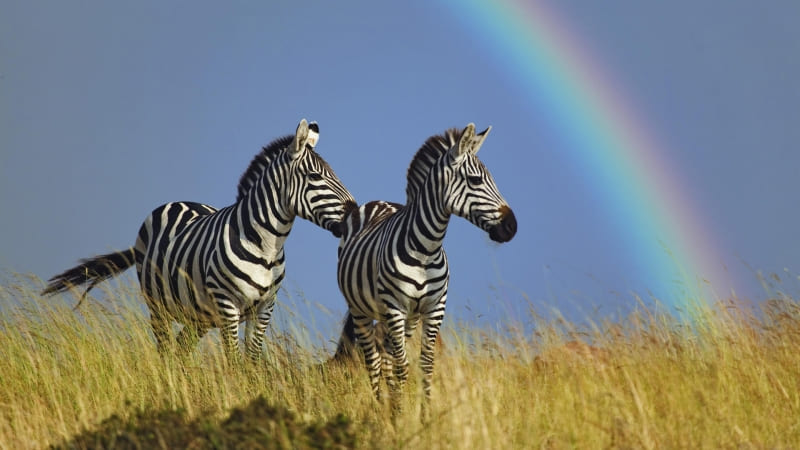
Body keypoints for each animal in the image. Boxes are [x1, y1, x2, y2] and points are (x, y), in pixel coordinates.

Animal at [43, 119, 356, 362]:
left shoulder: (265, 307)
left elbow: (253, 361)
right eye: (315, 176)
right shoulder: (228, 305)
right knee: (165, 351)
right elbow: (233, 362)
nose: (354, 211)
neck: (267, 244)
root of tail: (179, 201)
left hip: (199, 315)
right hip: (157, 305)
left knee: (181, 350)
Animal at [334, 123, 516, 418]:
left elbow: (425, 365)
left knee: (387, 359)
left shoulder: (433, 308)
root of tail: (378, 201)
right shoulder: (395, 306)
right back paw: (382, 409)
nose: (512, 227)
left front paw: (424, 416)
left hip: (404, 318)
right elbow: (402, 366)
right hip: (362, 310)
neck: (426, 249)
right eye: (475, 181)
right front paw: (399, 417)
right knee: (375, 361)